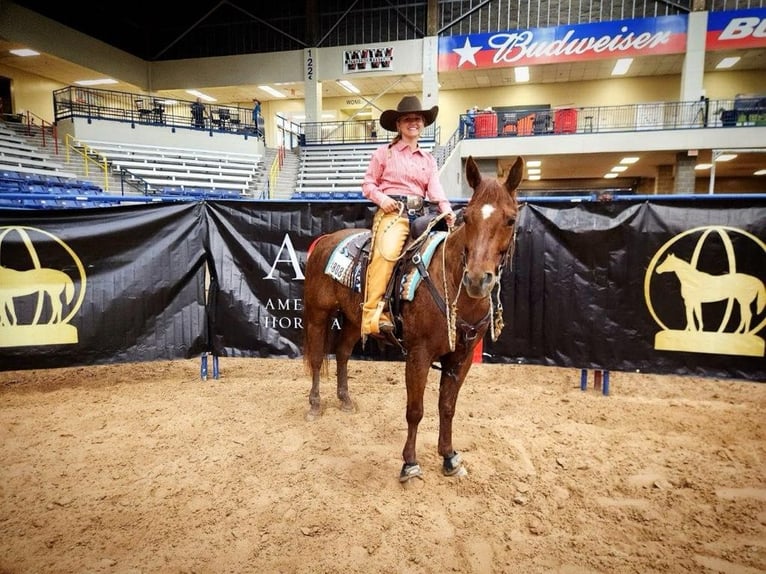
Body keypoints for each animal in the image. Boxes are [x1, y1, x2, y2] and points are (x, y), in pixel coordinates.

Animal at [304, 155, 524, 484]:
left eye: (510, 219)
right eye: (469, 217)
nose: (476, 280)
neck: (450, 282)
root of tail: (327, 239)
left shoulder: (461, 358)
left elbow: (447, 407)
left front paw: (449, 457)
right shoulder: (419, 354)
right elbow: (415, 410)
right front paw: (409, 463)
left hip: (356, 320)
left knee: (342, 353)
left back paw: (345, 399)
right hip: (318, 314)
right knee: (318, 358)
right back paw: (316, 404)